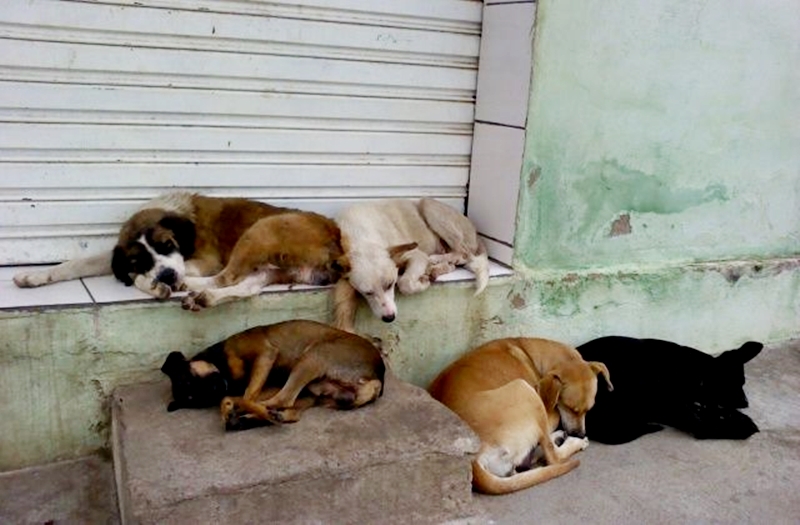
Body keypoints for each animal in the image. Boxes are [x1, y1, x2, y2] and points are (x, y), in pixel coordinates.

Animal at [12, 191, 348, 308]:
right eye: (139, 259)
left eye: (168, 245)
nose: (167, 277)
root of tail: (337, 236)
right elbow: (78, 263)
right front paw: (34, 277)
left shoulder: (206, 258)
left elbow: (148, 277)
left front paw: (154, 284)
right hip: (271, 266)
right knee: (246, 286)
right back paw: (204, 296)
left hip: (261, 231)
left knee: (227, 277)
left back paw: (189, 286)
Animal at [159, 318, 384, 428]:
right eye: (197, 397)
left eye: (191, 378)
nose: (217, 388)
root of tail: (377, 377)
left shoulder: (265, 355)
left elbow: (249, 394)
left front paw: (233, 406)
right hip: (316, 390)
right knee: (288, 407)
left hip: (313, 356)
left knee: (281, 400)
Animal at [432, 338, 612, 494]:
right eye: (569, 408)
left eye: (589, 410)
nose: (580, 433)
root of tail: (472, 458)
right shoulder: (549, 409)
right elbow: (555, 420)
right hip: (524, 390)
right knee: (553, 458)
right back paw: (573, 442)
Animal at [576, 336, 764, 442]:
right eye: (731, 383)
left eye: (743, 382)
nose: (745, 403)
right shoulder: (678, 409)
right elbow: (705, 425)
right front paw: (741, 426)